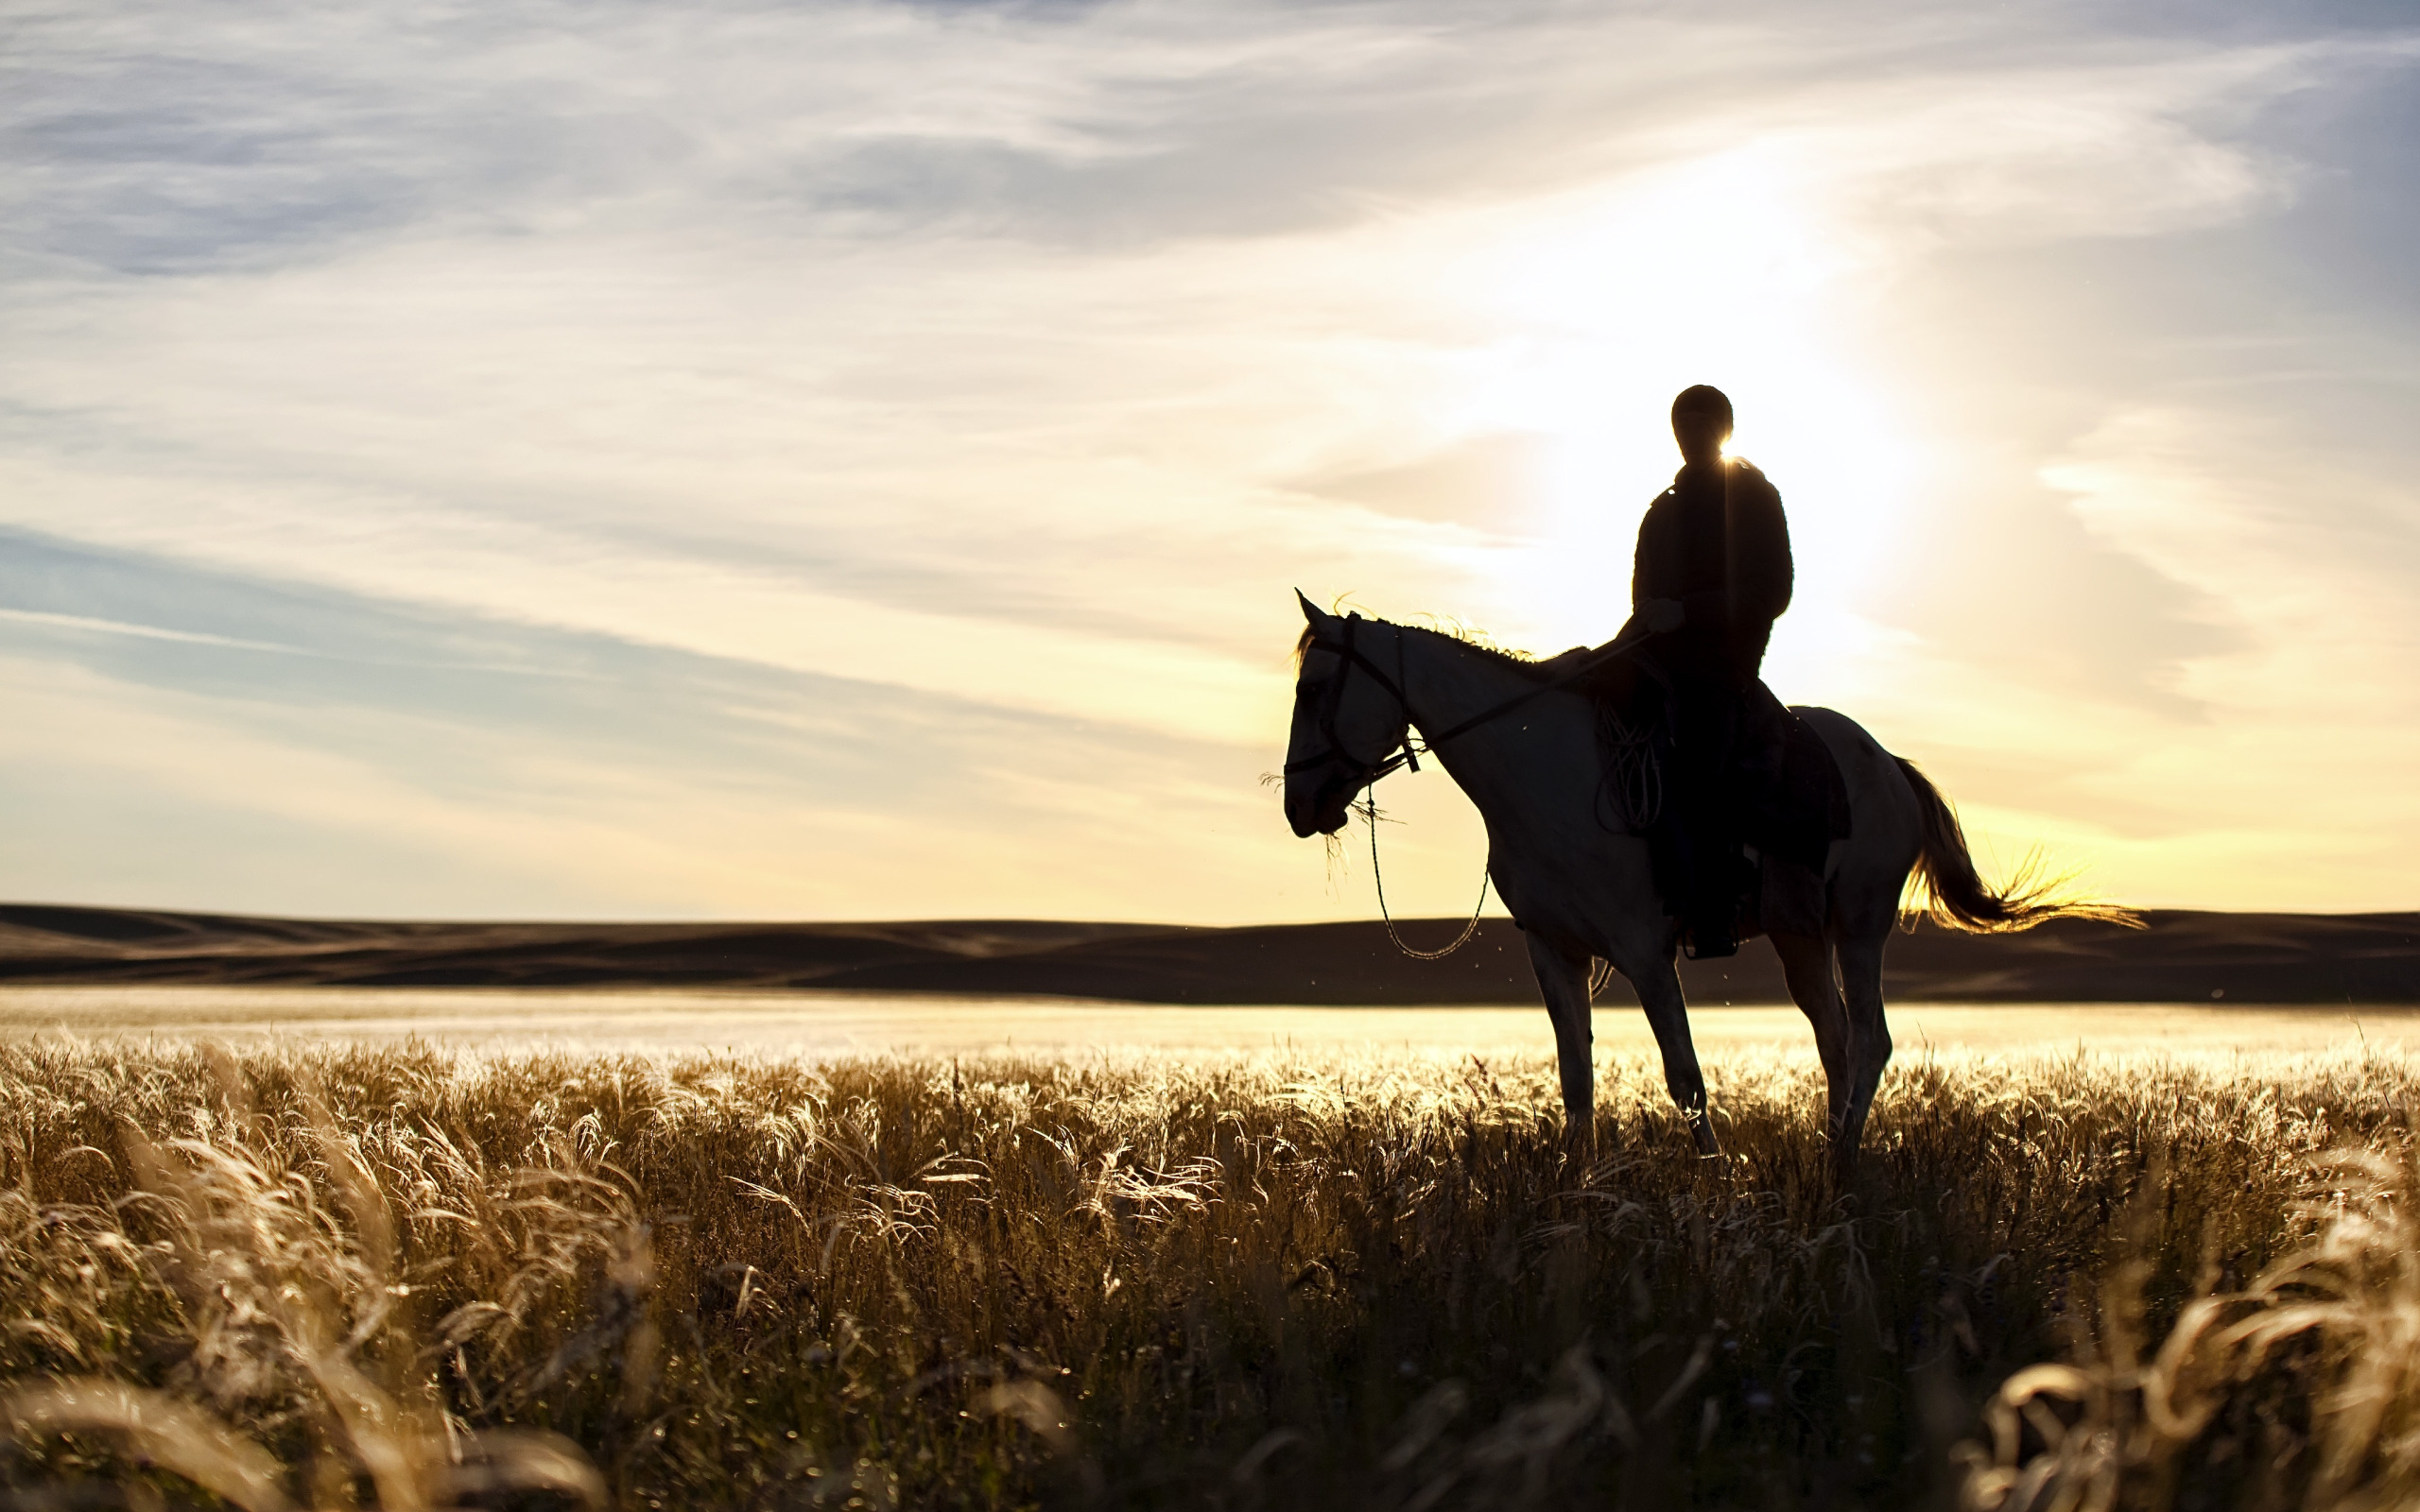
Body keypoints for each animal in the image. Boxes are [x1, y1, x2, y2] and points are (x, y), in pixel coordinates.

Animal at [1287, 594, 2100, 1176]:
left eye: (1317, 687)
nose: (1299, 806)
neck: (1541, 773)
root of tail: (1890, 765)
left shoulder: (1645, 951)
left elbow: (1685, 1077)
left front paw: (1714, 1187)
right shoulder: (1553, 951)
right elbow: (1575, 1082)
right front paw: (1574, 1190)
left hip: (1862, 924)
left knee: (1870, 1040)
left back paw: (1841, 1163)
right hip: (1801, 936)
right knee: (1836, 1040)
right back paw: (1832, 1155)